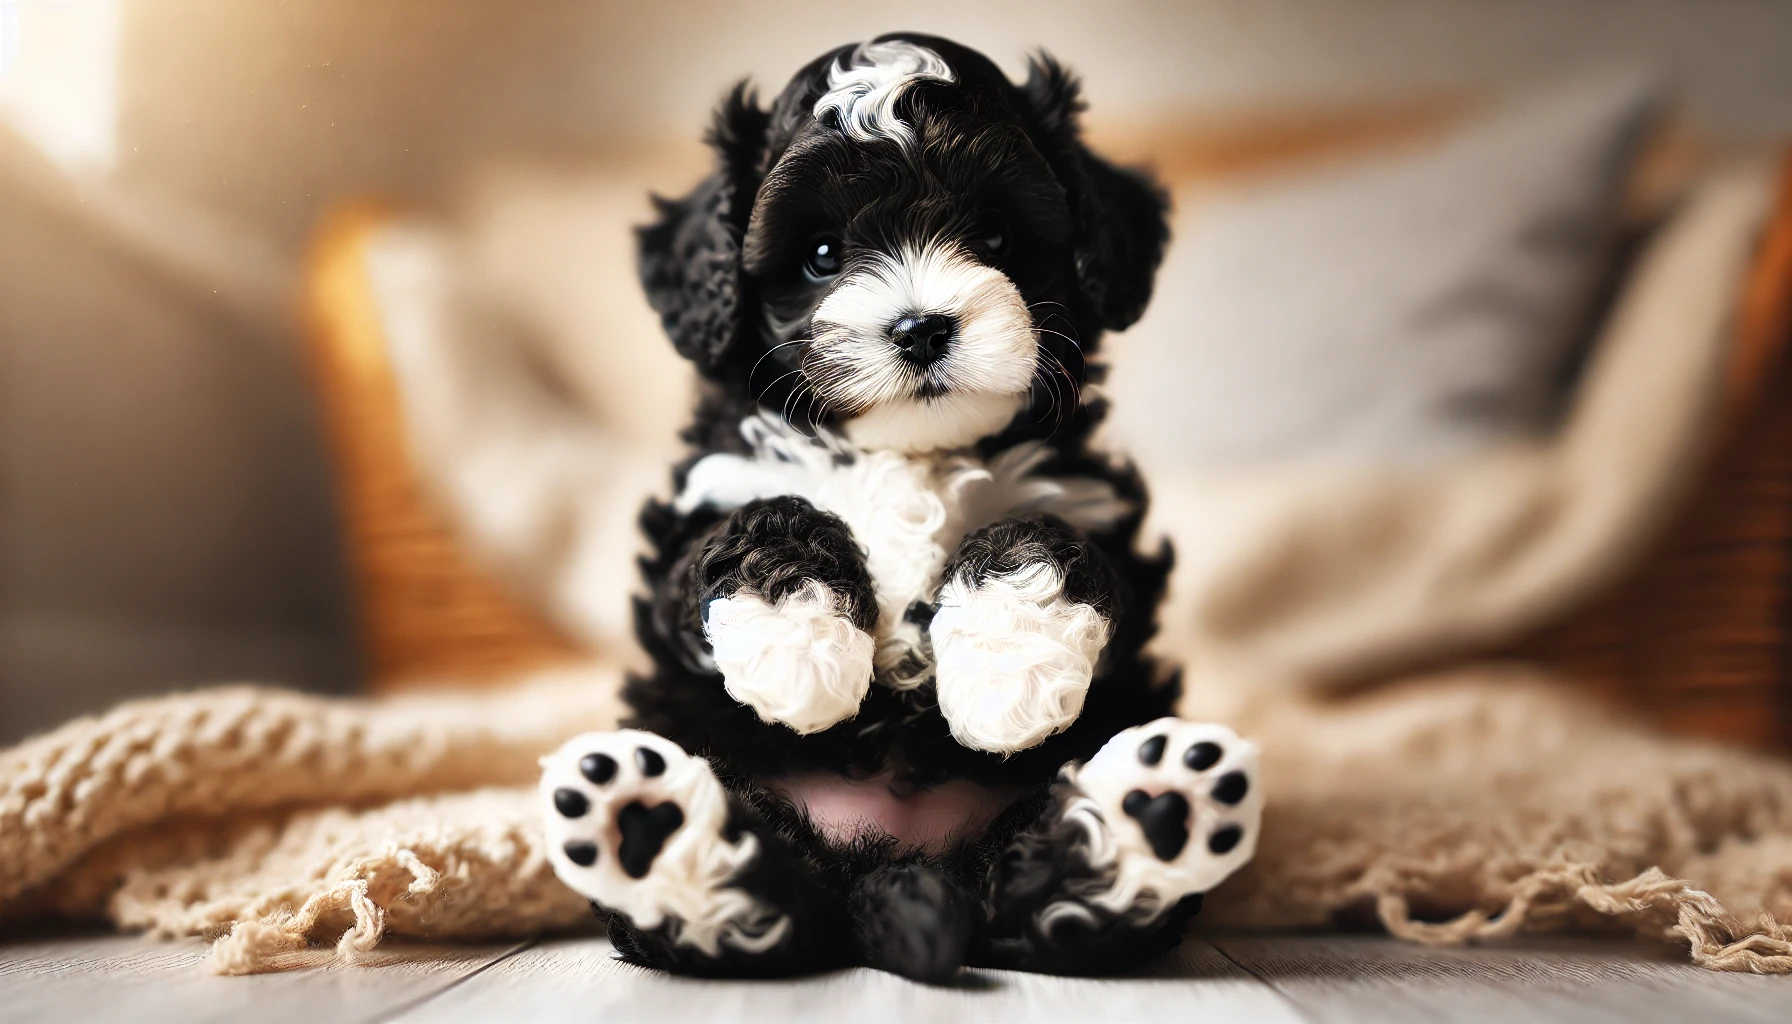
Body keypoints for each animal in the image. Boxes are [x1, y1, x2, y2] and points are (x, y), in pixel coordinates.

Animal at [537, 34, 1254, 982]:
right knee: (771, 908)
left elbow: (1036, 532)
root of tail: (891, 867)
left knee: (1038, 903)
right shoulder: (707, 502)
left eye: (995, 235)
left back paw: (1160, 812)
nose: (920, 328)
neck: (908, 454)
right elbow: (763, 521)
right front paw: (796, 650)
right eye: (821, 255)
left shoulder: (1090, 504)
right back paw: (649, 823)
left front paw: (1009, 675)